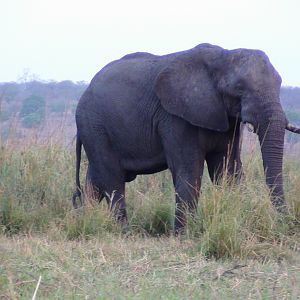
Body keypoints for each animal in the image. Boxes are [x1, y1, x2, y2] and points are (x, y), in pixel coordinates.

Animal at [71, 44, 298, 232]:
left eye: (279, 84)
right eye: (239, 88)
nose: (286, 224)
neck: (223, 55)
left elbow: (228, 170)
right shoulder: (175, 116)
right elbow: (189, 169)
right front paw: (183, 235)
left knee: (96, 179)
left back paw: (86, 221)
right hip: (95, 126)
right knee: (112, 178)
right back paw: (124, 232)